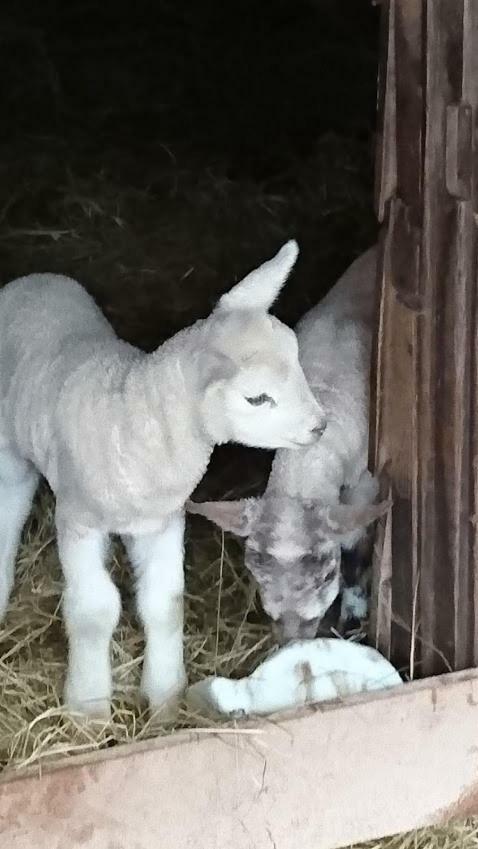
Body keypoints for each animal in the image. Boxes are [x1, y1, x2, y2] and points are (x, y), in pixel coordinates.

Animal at [0, 238, 326, 716]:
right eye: (257, 398)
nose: (320, 426)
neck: (132, 416)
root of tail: (35, 279)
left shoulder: (163, 522)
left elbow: (165, 604)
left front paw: (166, 697)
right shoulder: (78, 520)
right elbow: (95, 611)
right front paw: (88, 708)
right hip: (10, 446)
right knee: (10, 505)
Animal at [185, 245, 390, 644]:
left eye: (327, 575)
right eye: (257, 576)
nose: (294, 637)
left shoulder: (365, 484)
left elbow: (355, 546)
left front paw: (353, 613)